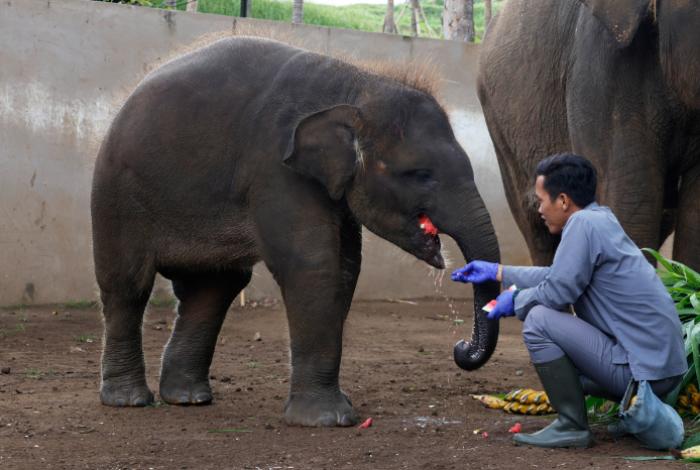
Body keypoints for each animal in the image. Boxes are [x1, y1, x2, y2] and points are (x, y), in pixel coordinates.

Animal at [91, 37, 501, 427]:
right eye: (420, 174)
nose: (460, 348)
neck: (357, 85)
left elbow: (346, 267)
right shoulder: (275, 168)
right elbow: (312, 264)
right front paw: (328, 420)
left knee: (213, 289)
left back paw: (189, 398)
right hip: (117, 196)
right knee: (128, 285)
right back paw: (129, 400)